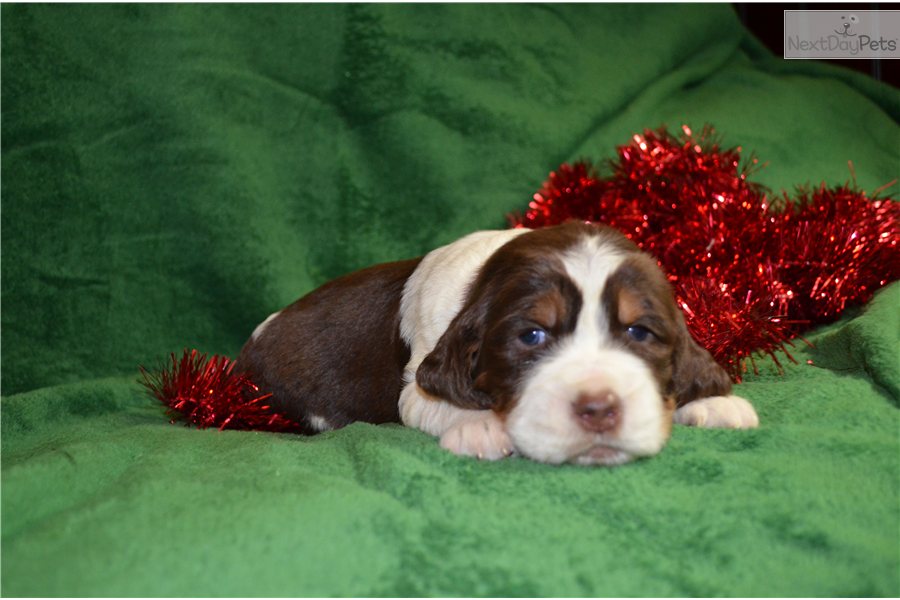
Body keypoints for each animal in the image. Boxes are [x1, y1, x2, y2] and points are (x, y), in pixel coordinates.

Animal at [239, 223, 760, 466]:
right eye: (531, 336)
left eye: (638, 332)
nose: (599, 410)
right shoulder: (417, 383)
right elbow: (439, 399)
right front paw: (481, 425)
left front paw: (715, 403)